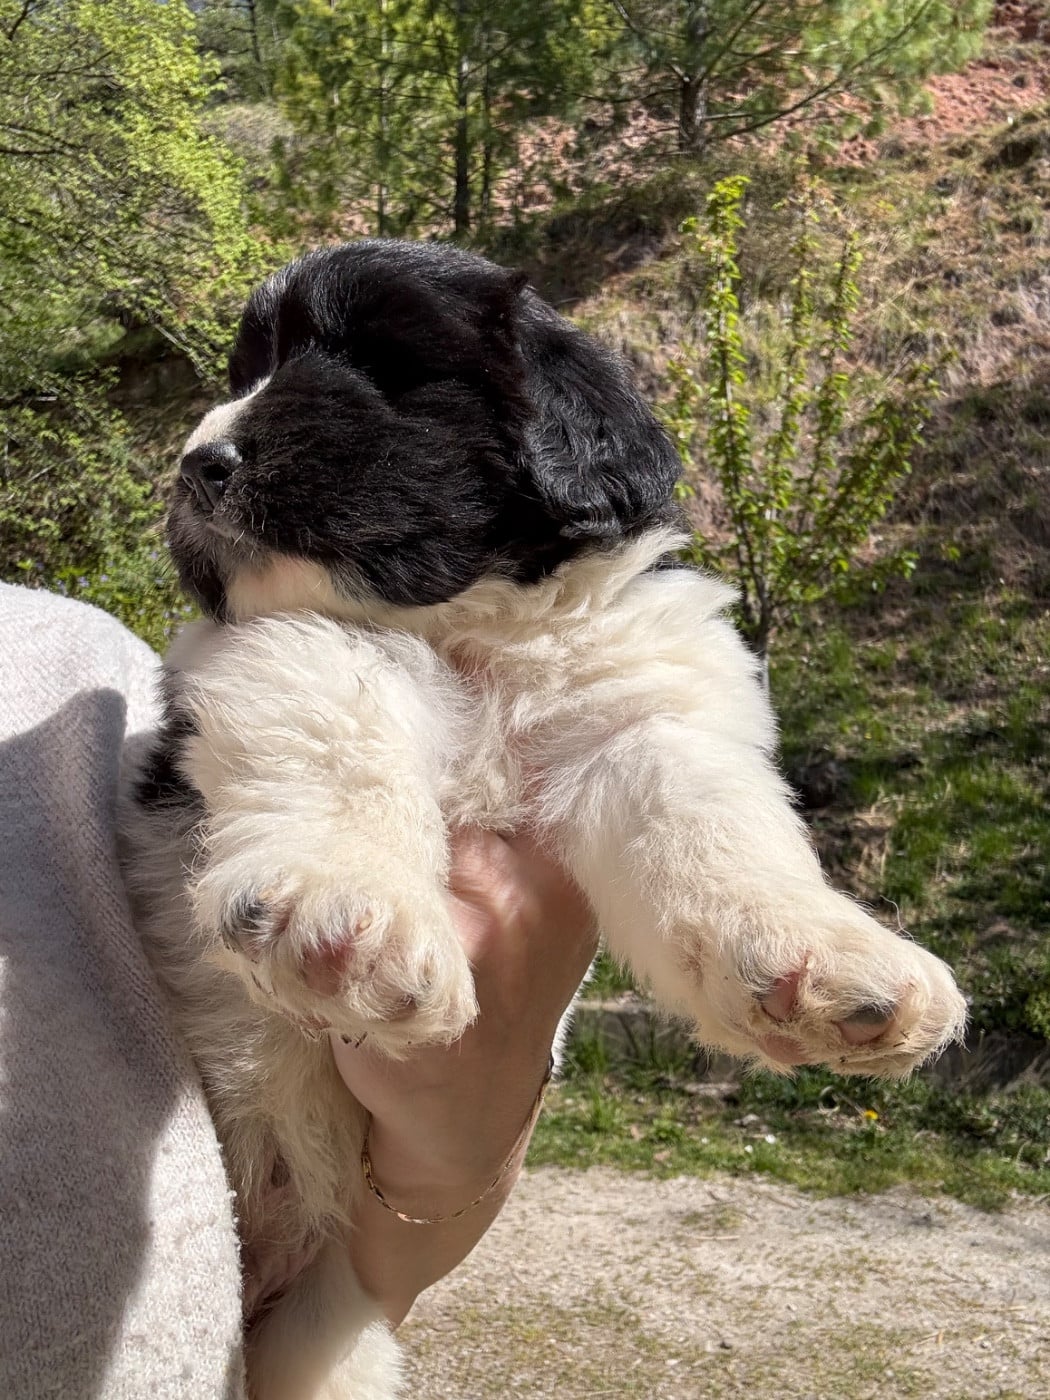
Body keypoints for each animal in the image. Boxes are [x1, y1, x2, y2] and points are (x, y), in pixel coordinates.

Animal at [121, 239, 967, 1399]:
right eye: (250, 369)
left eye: (378, 363)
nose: (199, 464)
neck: (475, 634)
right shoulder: (283, 640)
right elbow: (344, 713)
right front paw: (349, 909)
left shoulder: (643, 716)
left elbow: (713, 826)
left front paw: (821, 956)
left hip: (324, 1334)